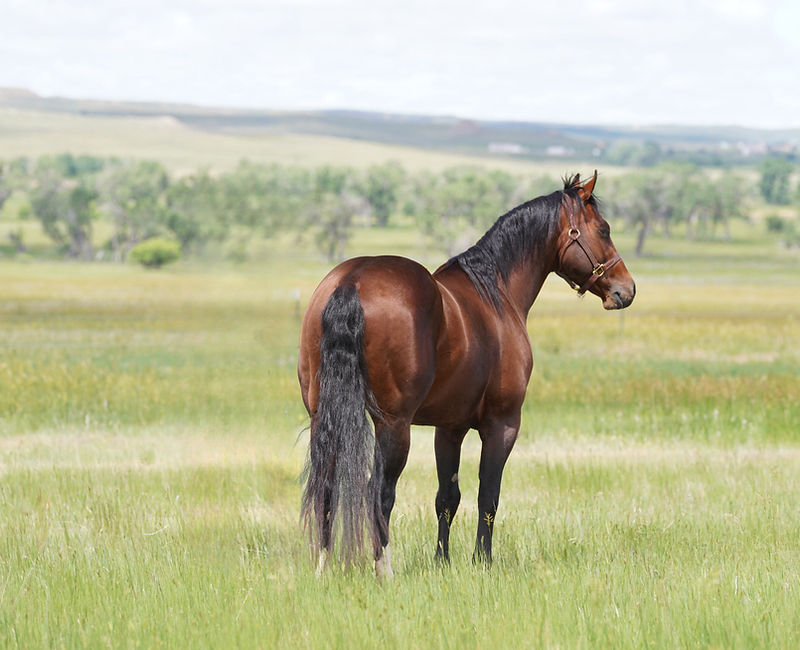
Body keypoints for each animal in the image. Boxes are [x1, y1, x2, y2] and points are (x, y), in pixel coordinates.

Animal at [298, 171, 635, 577]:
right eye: (603, 229)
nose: (626, 289)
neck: (497, 295)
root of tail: (353, 281)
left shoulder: (449, 428)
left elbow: (447, 497)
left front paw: (442, 562)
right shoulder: (502, 424)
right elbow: (488, 496)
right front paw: (483, 562)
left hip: (322, 415)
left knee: (326, 486)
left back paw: (322, 567)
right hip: (393, 425)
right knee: (377, 491)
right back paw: (385, 571)